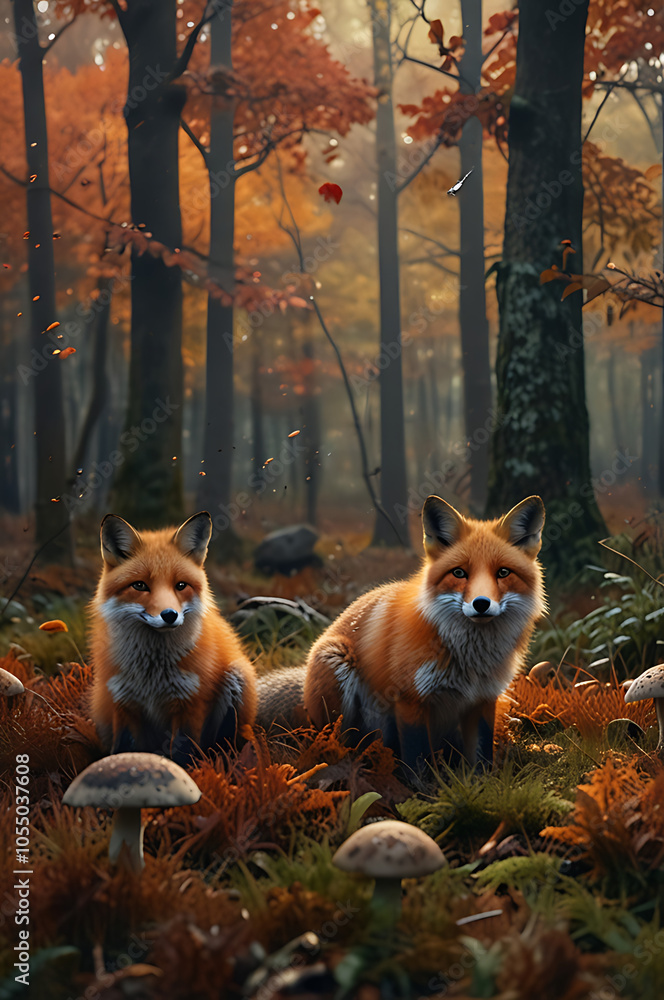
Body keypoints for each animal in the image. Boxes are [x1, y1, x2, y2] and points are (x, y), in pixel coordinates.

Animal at [89, 511, 257, 764]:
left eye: (180, 585)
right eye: (140, 585)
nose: (169, 615)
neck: (152, 673)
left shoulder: (191, 702)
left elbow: (182, 754)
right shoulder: (123, 701)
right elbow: (122, 749)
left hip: (238, 678)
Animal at [303, 495, 546, 770]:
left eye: (503, 572)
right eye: (459, 573)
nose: (481, 604)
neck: (469, 660)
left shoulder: (483, 699)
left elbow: (482, 757)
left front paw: (482, 779)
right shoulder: (410, 699)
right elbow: (416, 759)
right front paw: (420, 781)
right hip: (337, 671)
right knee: (334, 739)